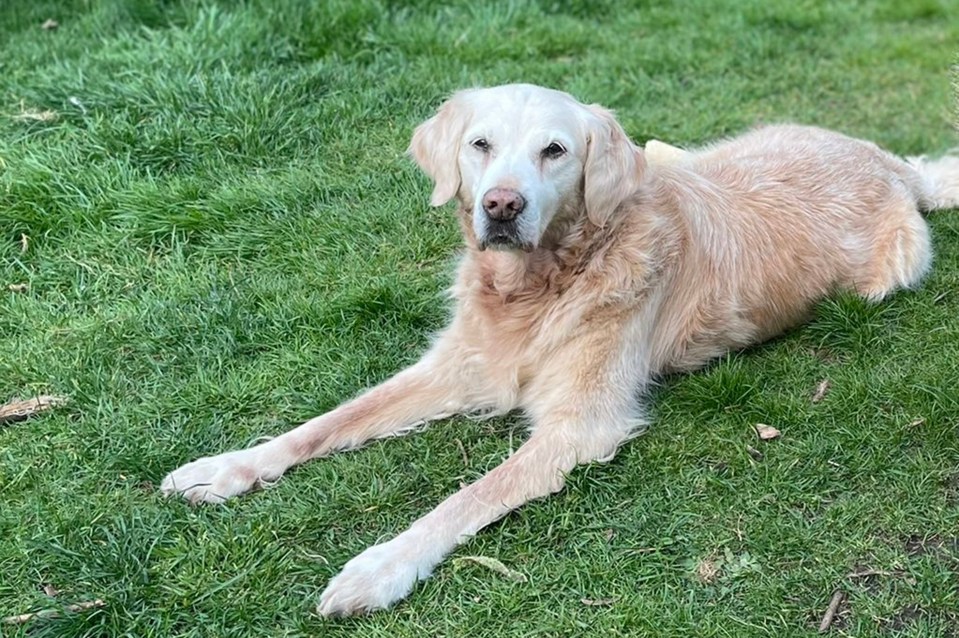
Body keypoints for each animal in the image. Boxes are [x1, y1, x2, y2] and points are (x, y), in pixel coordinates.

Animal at [161, 82, 956, 616]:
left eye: (554, 150)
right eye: (479, 144)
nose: (501, 206)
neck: (535, 288)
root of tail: (891, 163)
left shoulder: (580, 424)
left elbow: (467, 497)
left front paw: (378, 568)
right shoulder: (454, 365)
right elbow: (326, 422)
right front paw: (225, 468)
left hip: (887, 274)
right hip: (683, 151)